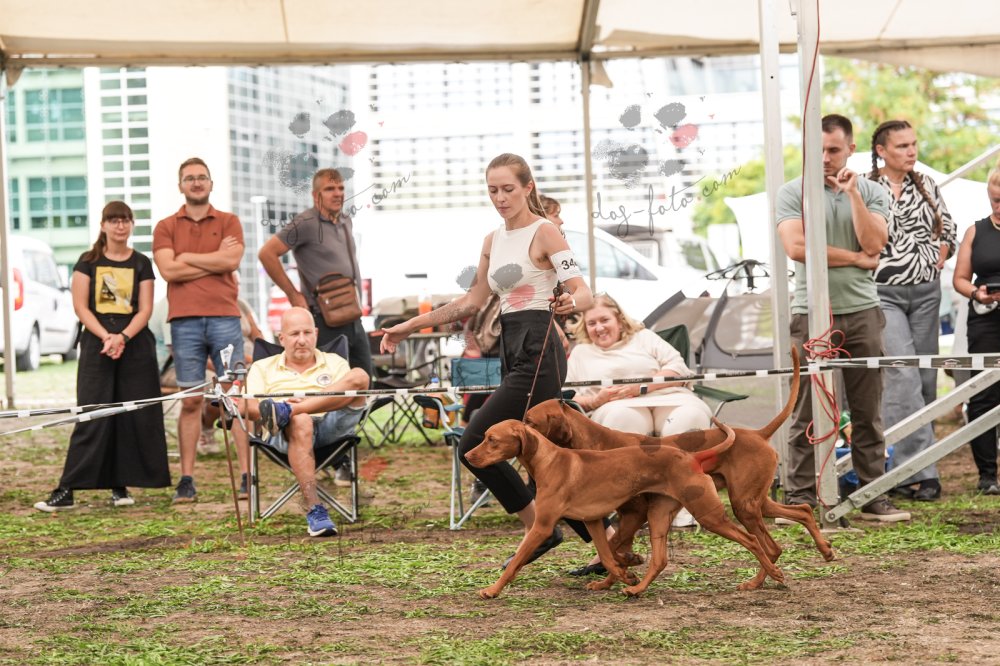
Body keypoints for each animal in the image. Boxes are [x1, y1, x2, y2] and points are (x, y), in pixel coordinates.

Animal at [465, 419, 785, 599]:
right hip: (658, 515)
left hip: (708, 514)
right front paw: (625, 572)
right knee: (660, 560)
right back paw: (636, 589)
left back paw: (772, 574)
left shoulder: (542, 526)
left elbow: (517, 561)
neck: (549, 461)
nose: (466, 455)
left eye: (492, 439)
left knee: (752, 539)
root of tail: (692, 457)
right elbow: (607, 556)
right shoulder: (593, 520)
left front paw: (492, 590)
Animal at [525, 346, 834, 590]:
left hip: (743, 504)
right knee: (799, 515)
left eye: (530, 420)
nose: (516, 424)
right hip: (754, 501)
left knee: (768, 544)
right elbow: (614, 549)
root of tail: (758, 433)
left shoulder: (636, 512)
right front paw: (614, 577)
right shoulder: (630, 513)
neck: (597, 442)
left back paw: (766, 577)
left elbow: (611, 548)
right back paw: (814, 555)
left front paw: (623, 568)